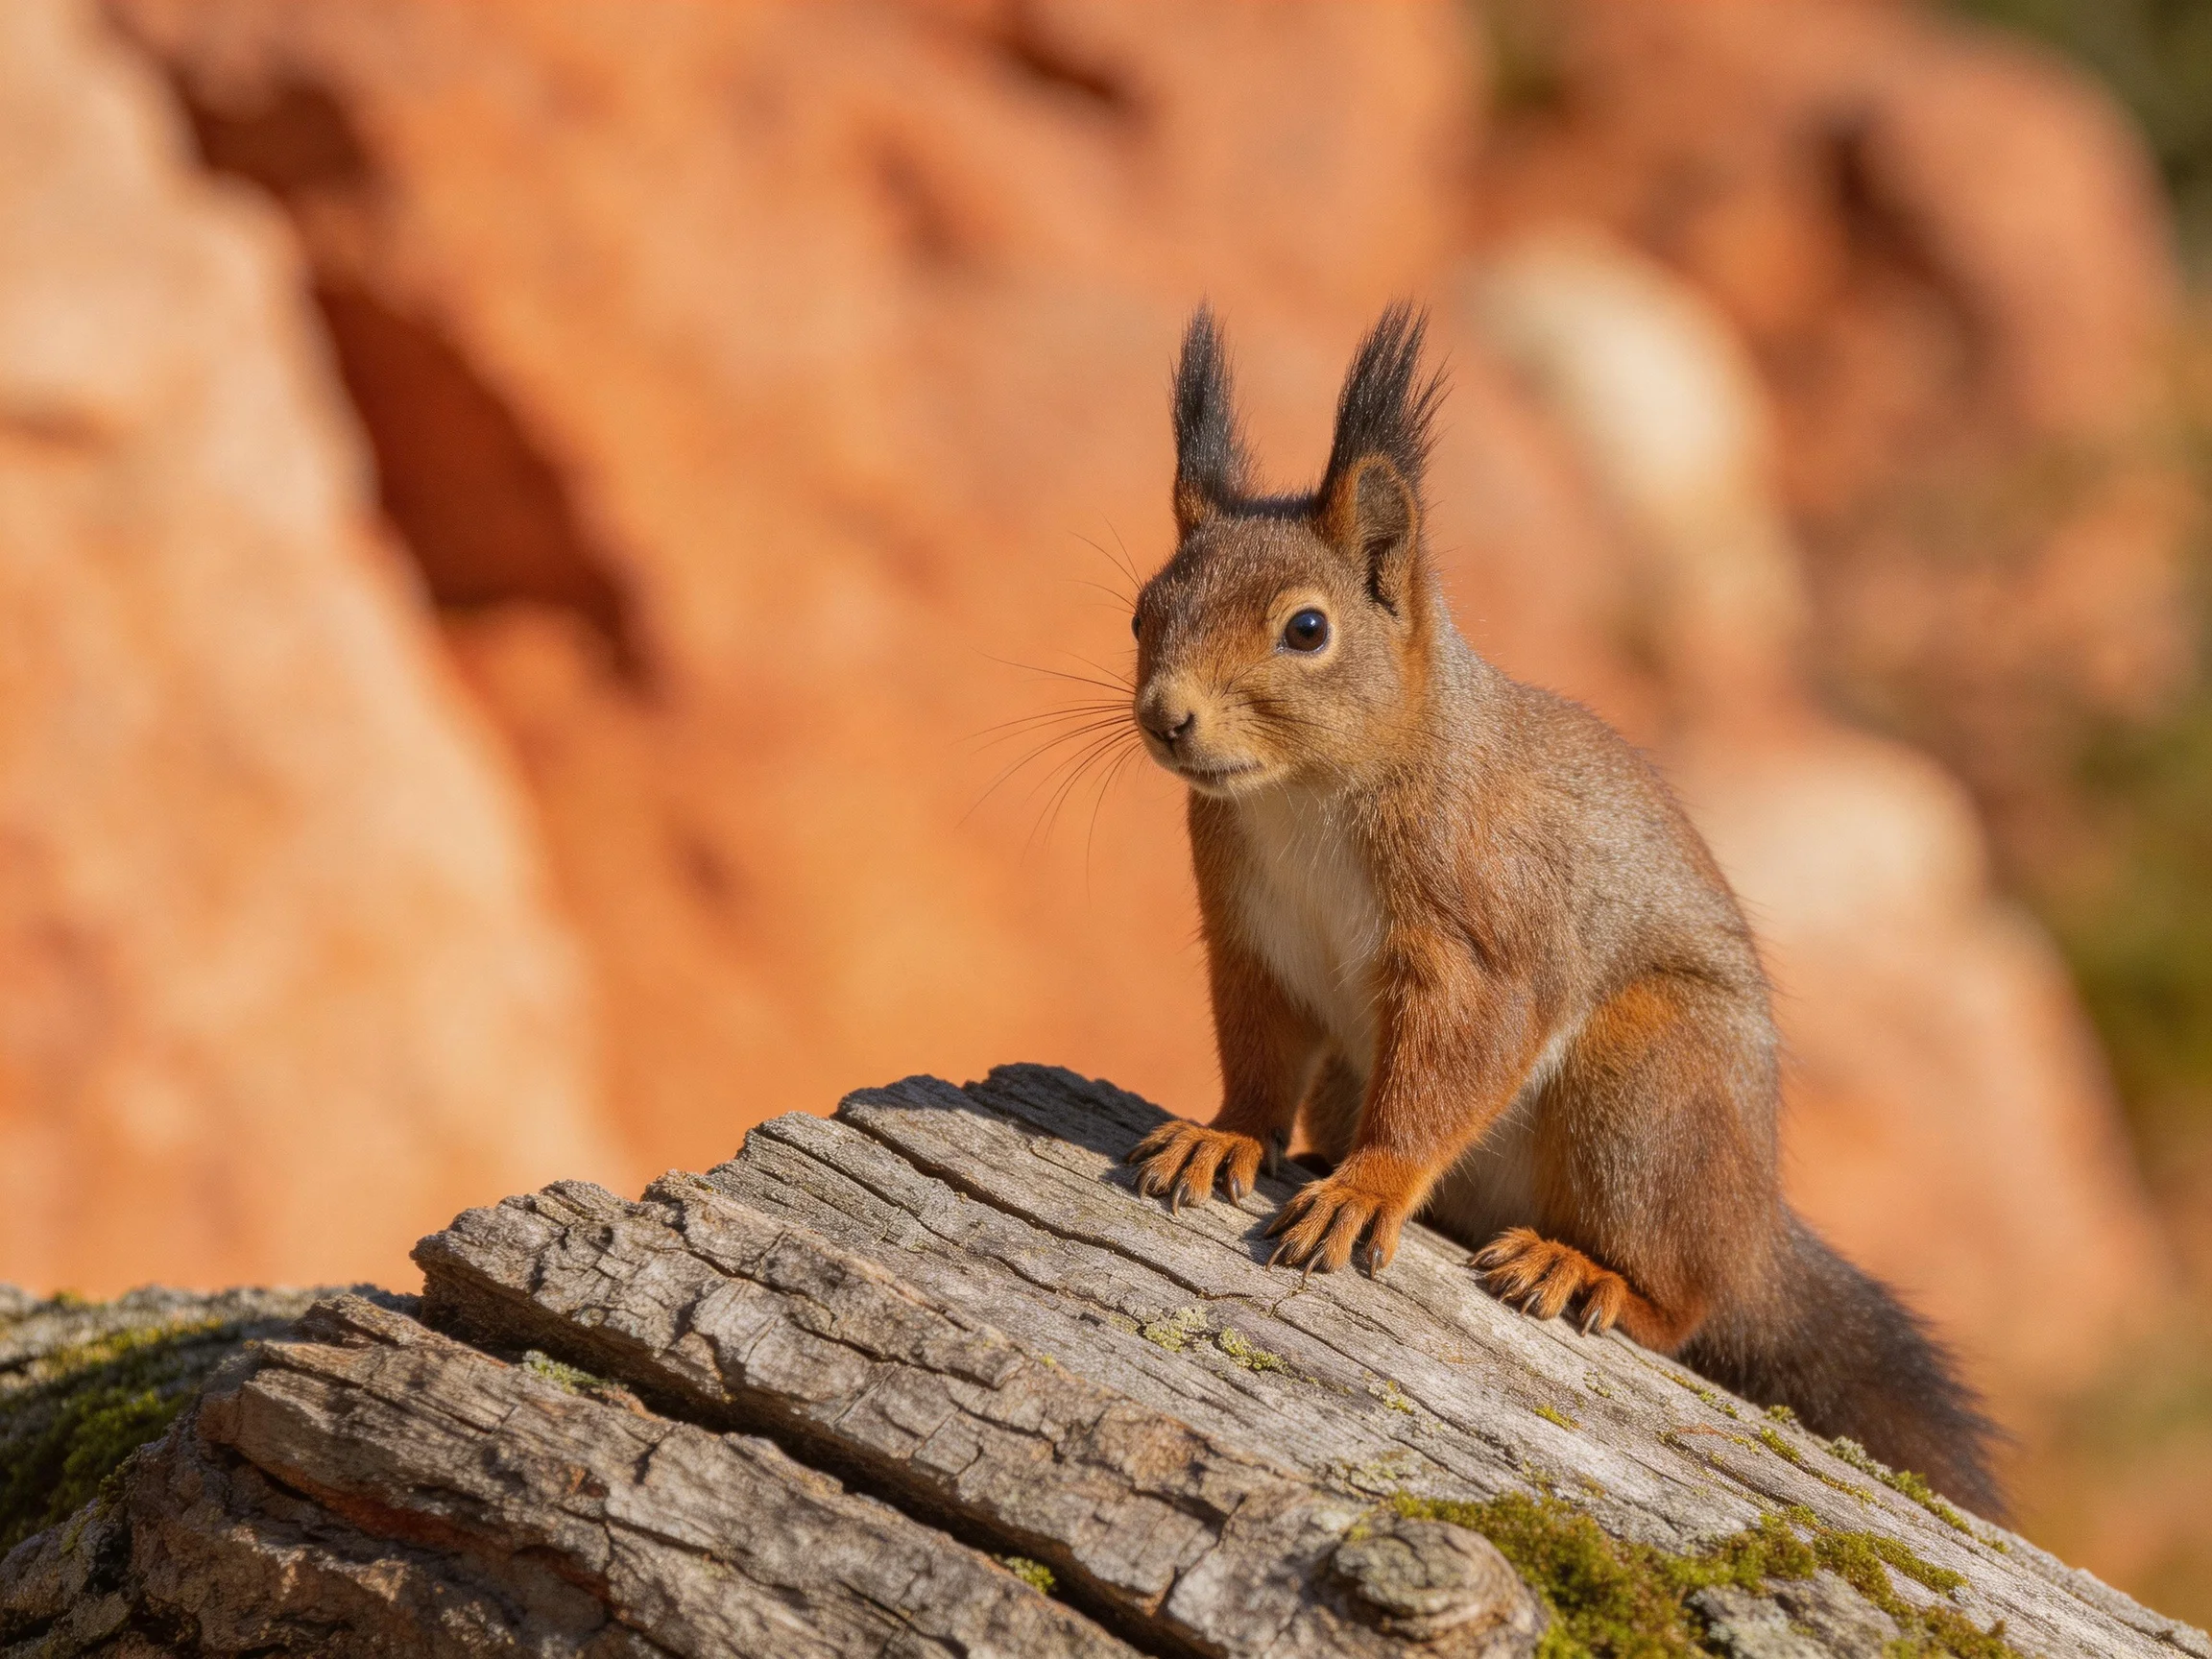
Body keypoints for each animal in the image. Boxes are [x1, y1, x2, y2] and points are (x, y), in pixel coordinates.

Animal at [1124, 304, 2002, 1516]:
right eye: (1142, 611)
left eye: (1306, 630)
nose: (1167, 718)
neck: (1304, 795)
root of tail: (1756, 1221)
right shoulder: (1252, 939)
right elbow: (1258, 1059)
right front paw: (1226, 1136)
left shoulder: (1484, 935)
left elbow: (1451, 1069)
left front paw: (1369, 1186)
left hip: (1648, 1087)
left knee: (1683, 1306)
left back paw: (1580, 1268)